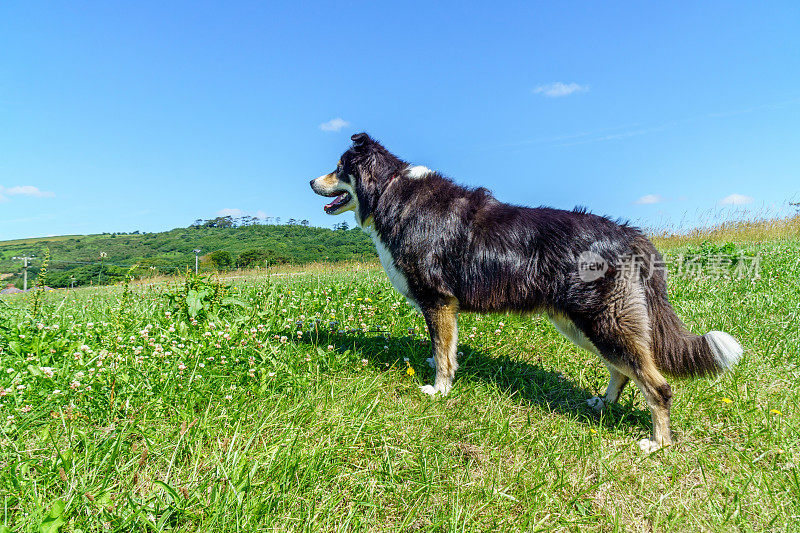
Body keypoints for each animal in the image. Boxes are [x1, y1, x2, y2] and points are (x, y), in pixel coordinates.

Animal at [312, 132, 744, 448]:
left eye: (338, 169)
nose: (311, 181)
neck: (391, 191)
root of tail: (630, 235)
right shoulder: (444, 307)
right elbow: (445, 349)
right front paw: (440, 372)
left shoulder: (438, 301)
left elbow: (443, 354)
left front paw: (439, 390)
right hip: (581, 325)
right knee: (622, 371)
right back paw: (603, 404)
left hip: (603, 322)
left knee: (658, 385)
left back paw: (659, 443)